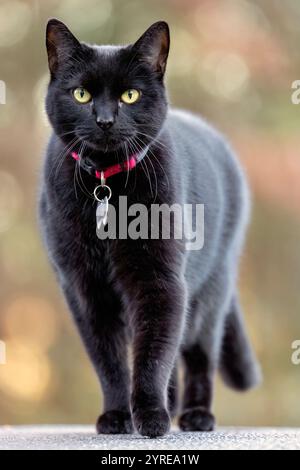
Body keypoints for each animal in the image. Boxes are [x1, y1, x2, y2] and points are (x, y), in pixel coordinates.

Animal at [39, 18, 260, 436]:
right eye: (80, 95)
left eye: (129, 95)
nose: (105, 120)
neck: (106, 186)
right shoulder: (85, 290)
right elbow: (109, 360)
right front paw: (117, 416)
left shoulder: (160, 280)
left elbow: (153, 356)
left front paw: (152, 417)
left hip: (210, 292)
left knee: (198, 355)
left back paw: (195, 415)